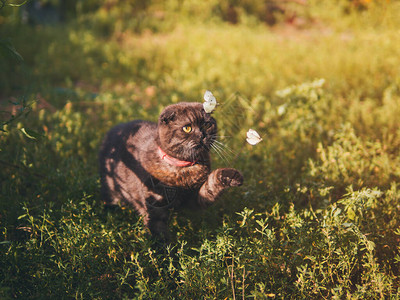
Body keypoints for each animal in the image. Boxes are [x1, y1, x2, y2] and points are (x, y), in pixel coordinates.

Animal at [100, 101, 244, 239]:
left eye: (207, 124)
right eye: (187, 128)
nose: (202, 135)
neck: (183, 169)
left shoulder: (195, 198)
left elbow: (211, 185)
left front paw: (232, 176)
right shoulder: (155, 207)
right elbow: (159, 234)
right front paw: (168, 248)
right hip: (112, 189)